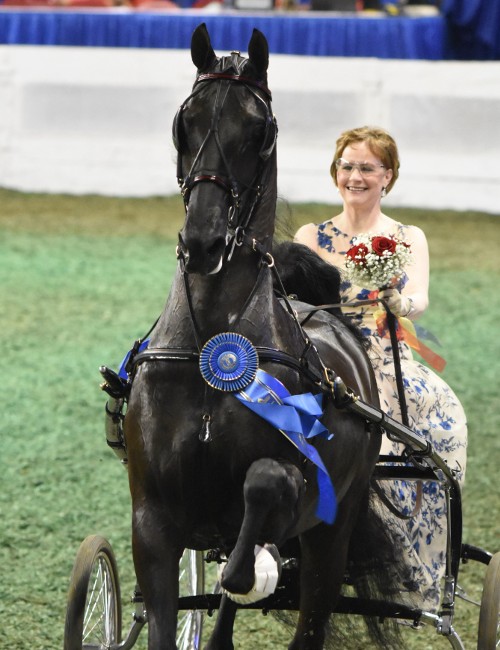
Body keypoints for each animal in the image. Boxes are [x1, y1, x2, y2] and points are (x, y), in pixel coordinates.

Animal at [124, 22, 382, 644]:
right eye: (184, 120)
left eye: (260, 131)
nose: (205, 241)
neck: (208, 352)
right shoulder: (152, 521)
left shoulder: (298, 493)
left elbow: (263, 489)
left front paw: (258, 570)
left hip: (331, 540)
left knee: (308, 620)